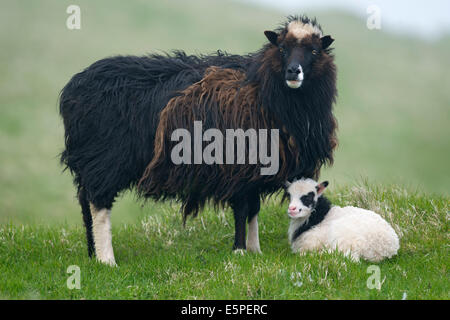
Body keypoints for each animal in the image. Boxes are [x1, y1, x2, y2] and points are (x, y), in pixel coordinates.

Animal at [59, 15, 338, 264]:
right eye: (282, 48)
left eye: (314, 51)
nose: (293, 71)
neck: (263, 89)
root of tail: (74, 88)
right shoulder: (238, 163)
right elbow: (242, 209)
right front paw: (239, 250)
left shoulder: (255, 170)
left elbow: (253, 208)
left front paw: (254, 250)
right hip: (106, 158)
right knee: (98, 204)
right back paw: (107, 259)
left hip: (92, 159)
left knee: (84, 201)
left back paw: (92, 254)